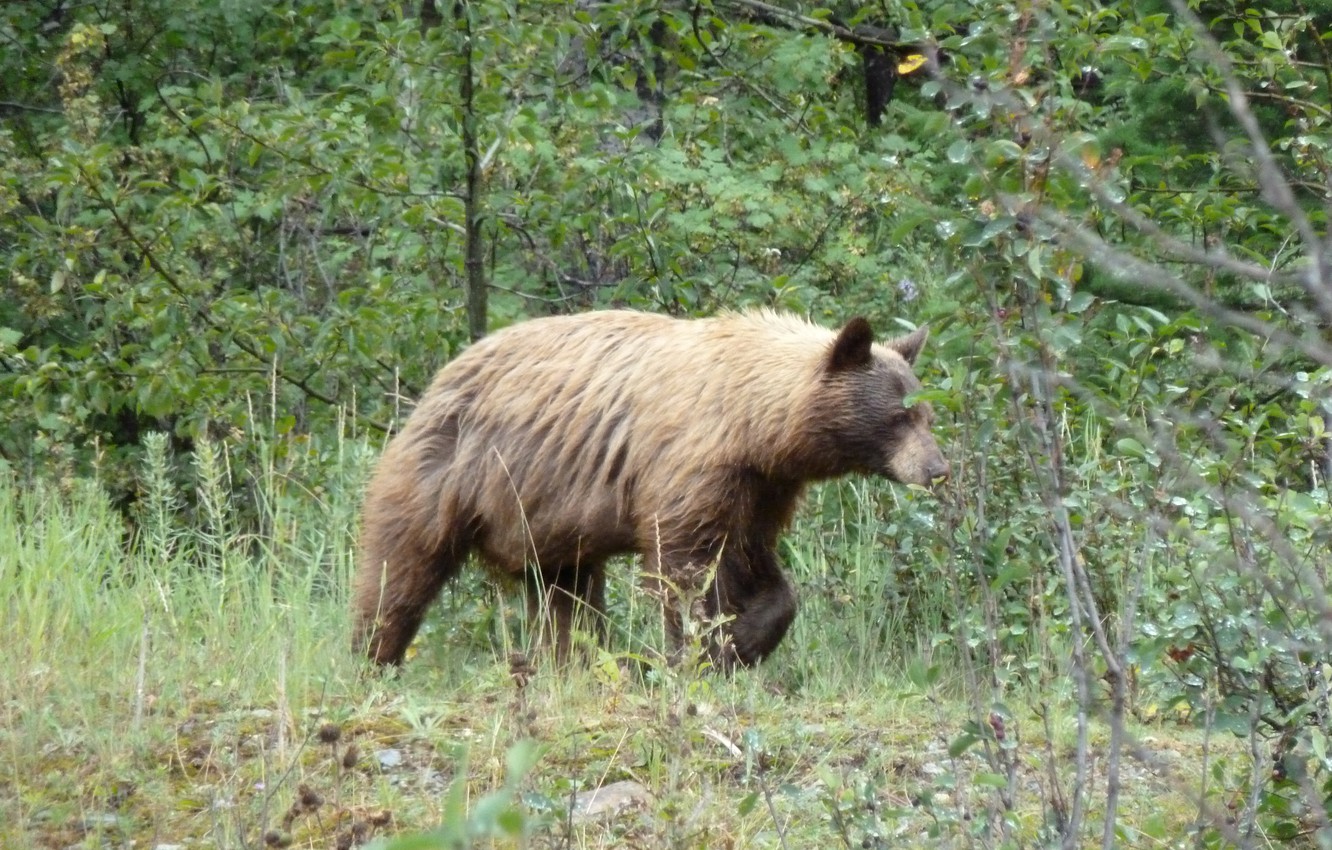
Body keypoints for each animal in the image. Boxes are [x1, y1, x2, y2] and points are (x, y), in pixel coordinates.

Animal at [351, 310, 949, 669]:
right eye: (899, 418)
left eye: (927, 414)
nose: (938, 469)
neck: (754, 423)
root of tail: (443, 373)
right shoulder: (691, 466)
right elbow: (684, 569)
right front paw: (698, 652)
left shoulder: (761, 487)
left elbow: (754, 562)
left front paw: (745, 640)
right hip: (451, 471)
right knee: (400, 568)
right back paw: (374, 655)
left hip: (546, 517)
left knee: (564, 594)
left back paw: (573, 660)